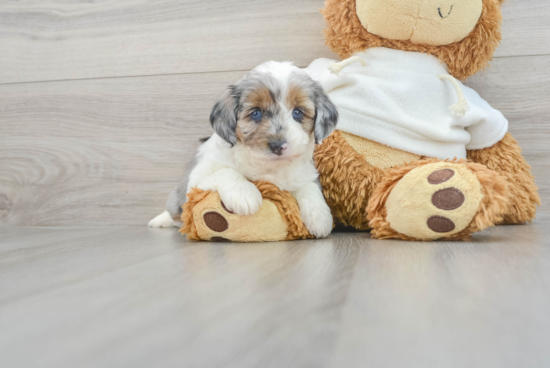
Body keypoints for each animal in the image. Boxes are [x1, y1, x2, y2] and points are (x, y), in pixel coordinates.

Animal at [151, 61, 340, 239]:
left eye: (298, 113)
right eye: (256, 113)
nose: (278, 145)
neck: (268, 166)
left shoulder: (305, 172)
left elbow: (309, 186)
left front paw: (320, 216)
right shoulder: (197, 178)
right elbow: (225, 171)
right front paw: (245, 194)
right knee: (174, 212)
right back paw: (162, 220)